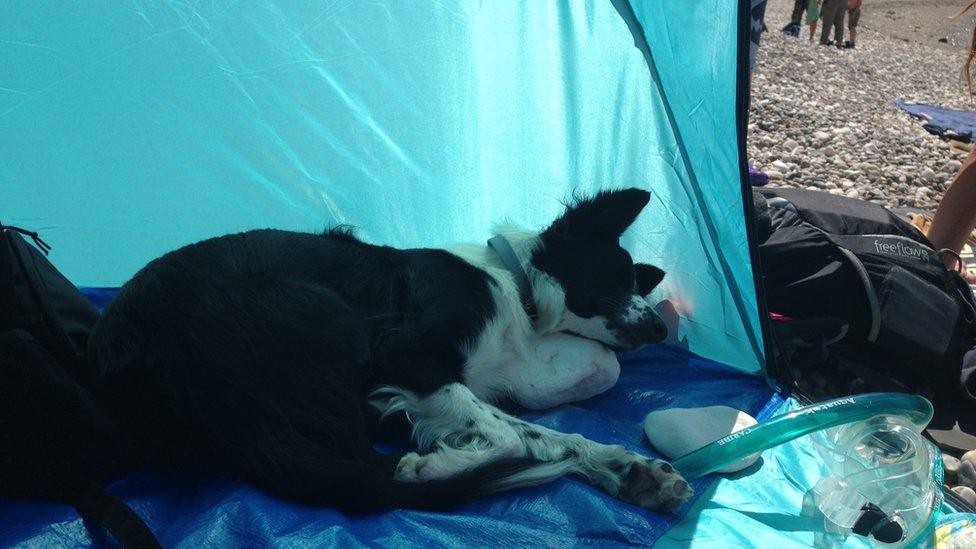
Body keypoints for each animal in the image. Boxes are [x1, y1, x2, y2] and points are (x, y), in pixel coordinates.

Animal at [87, 187, 692, 510]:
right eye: (620, 274)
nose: (661, 332)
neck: (513, 288)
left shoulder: (440, 384)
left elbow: (547, 435)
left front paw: (627, 466)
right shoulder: (403, 357)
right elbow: (511, 436)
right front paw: (434, 464)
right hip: (315, 308)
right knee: (372, 470)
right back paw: (422, 470)